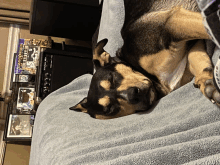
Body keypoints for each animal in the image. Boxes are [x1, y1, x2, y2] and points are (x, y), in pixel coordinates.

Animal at [69, 0, 220, 118]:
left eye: (112, 78)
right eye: (109, 109)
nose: (133, 95)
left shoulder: (170, 22)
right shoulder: (191, 43)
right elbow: (198, 59)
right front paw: (208, 84)